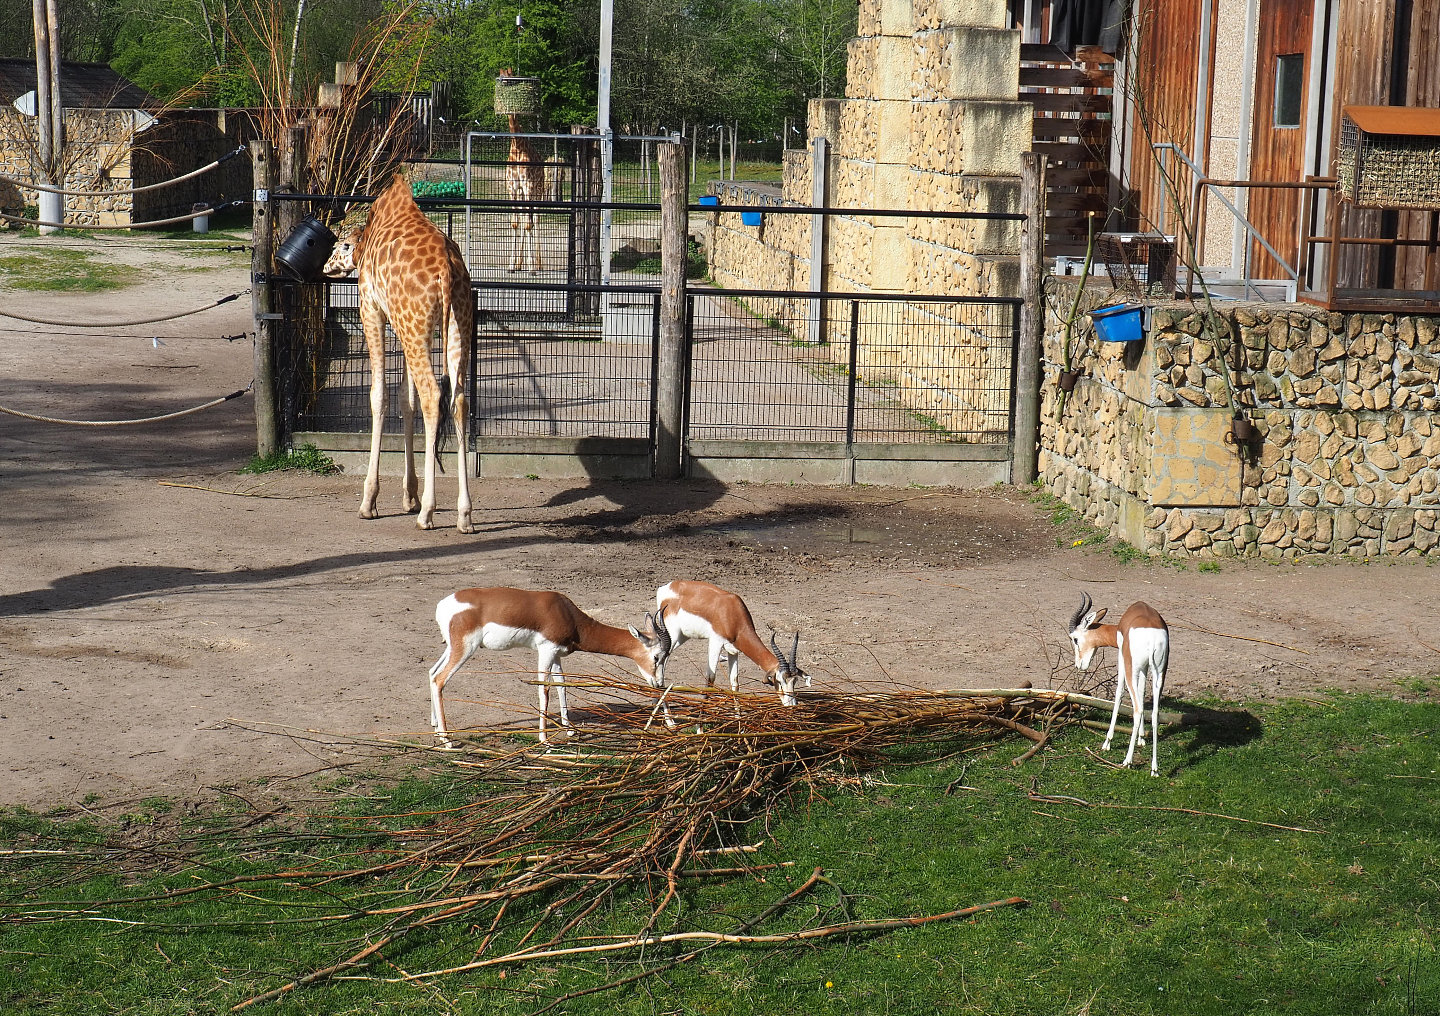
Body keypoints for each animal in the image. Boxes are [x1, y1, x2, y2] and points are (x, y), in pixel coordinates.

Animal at [322, 173, 474, 533]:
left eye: (341, 246)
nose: (326, 266)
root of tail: (447, 271)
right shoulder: (404, 325)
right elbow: (407, 399)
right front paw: (409, 495)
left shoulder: (371, 307)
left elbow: (380, 396)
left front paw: (370, 501)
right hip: (453, 324)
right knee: (458, 399)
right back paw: (464, 515)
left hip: (415, 324)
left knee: (433, 395)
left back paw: (428, 513)